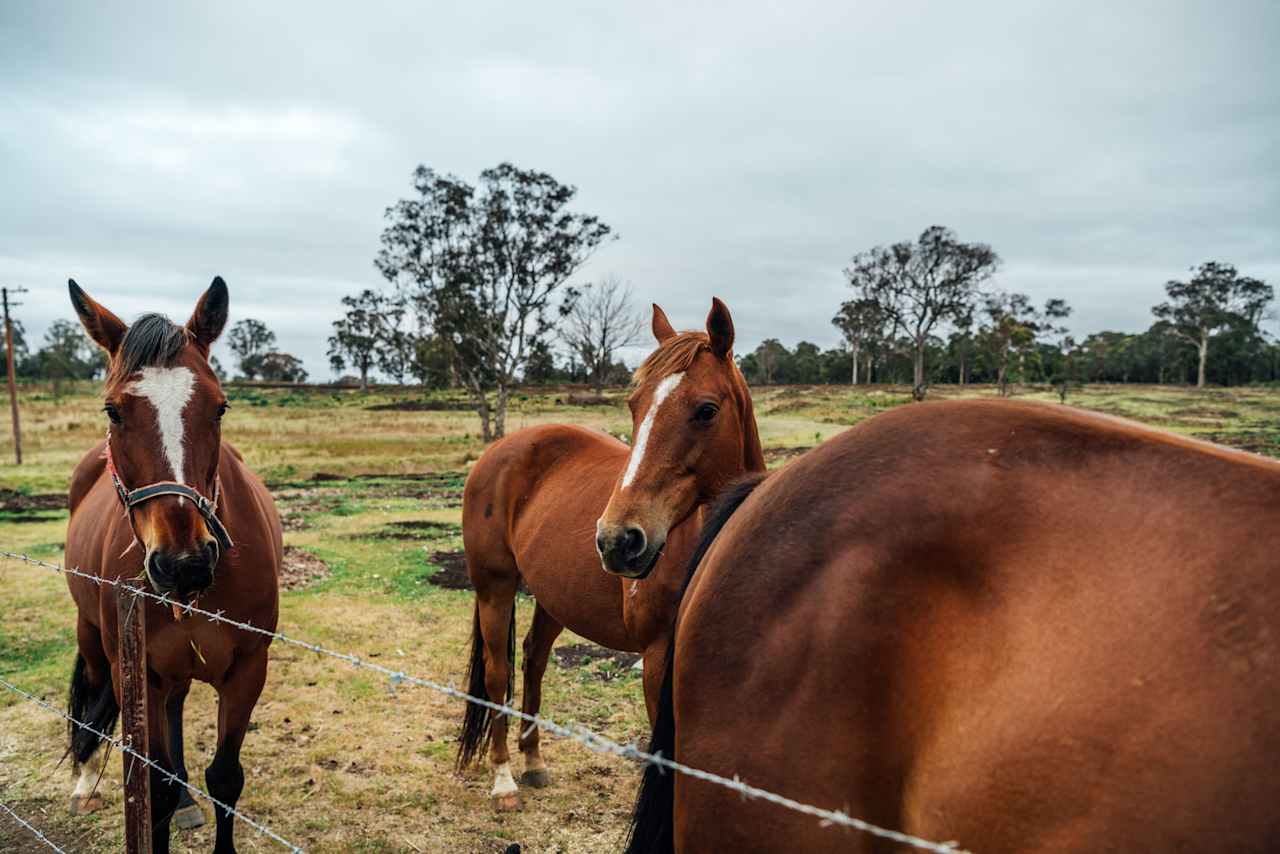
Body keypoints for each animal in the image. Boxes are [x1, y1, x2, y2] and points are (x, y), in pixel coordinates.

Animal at [62, 281, 280, 854]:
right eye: (113, 411)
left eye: (220, 408)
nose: (184, 563)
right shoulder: (138, 673)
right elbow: (152, 787)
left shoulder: (248, 669)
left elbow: (225, 778)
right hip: (95, 640)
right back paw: (85, 783)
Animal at [458, 299, 757, 809]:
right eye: (634, 406)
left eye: (706, 410)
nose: (618, 540)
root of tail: (499, 449)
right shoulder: (657, 661)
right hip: (493, 588)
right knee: (498, 675)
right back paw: (504, 780)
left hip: (553, 597)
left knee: (534, 659)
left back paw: (533, 762)